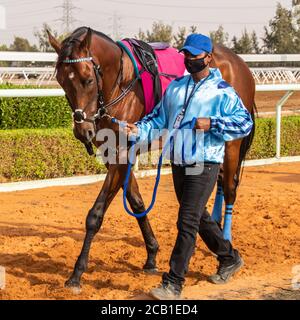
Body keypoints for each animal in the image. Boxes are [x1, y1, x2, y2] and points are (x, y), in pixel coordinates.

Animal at [47, 26, 255, 290]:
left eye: (88, 80)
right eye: (62, 81)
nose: (83, 131)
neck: (122, 82)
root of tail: (240, 63)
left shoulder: (122, 154)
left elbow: (96, 214)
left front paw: (77, 273)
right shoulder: (113, 153)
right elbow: (136, 201)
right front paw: (152, 254)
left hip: (232, 143)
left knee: (229, 187)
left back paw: (226, 244)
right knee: (218, 183)